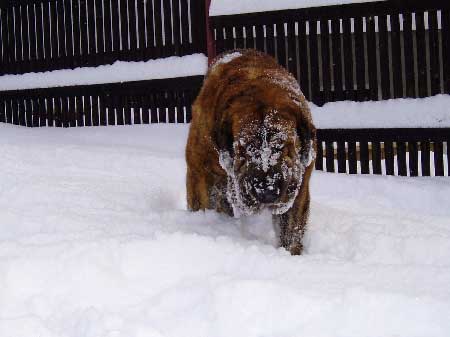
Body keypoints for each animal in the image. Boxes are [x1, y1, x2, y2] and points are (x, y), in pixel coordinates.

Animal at [186, 49, 316, 255]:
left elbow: (291, 227)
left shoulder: (299, 180)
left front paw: (290, 253)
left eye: (282, 146)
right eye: (244, 148)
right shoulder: (201, 170)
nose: (266, 191)